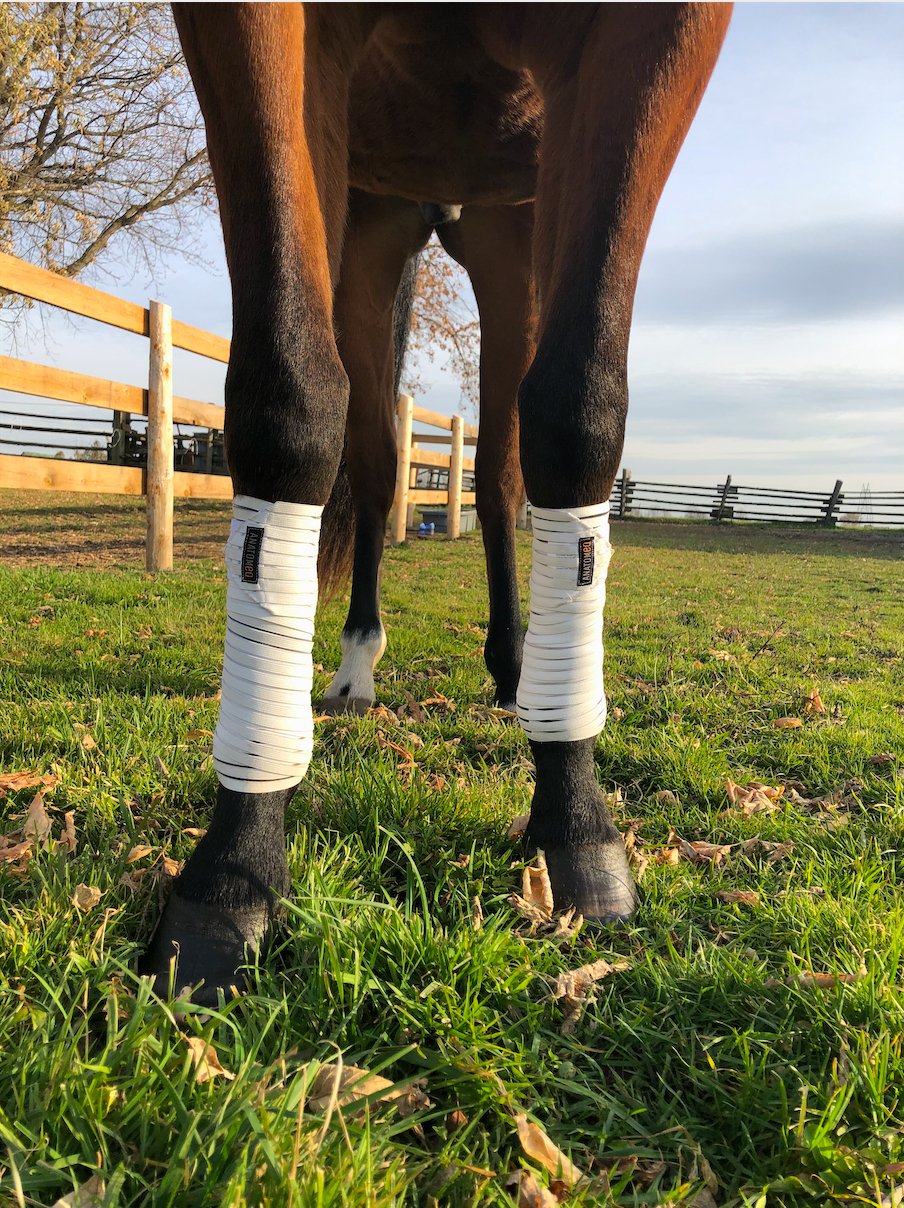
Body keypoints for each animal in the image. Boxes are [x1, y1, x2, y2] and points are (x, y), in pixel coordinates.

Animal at [141, 2, 733, 1003]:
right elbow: (290, 395)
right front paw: (235, 867)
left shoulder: (655, 38)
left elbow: (579, 409)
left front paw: (576, 823)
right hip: (375, 224)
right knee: (378, 466)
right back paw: (355, 668)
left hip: (507, 226)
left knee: (499, 472)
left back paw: (516, 671)